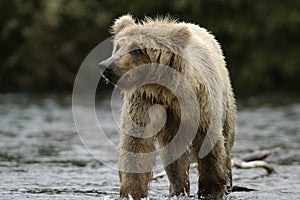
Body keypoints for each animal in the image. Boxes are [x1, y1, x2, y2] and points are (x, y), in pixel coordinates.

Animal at [99, 14, 236, 199]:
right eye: (118, 46)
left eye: (136, 49)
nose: (106, 66)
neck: (165, 90)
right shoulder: (143, 101)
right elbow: (136, 144)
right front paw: (132, 191)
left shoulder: (202, 103)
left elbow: (208, 143)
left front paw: (211, 189)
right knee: (173, 156)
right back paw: (177, 188)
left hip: (225, 98)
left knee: (227, 137)